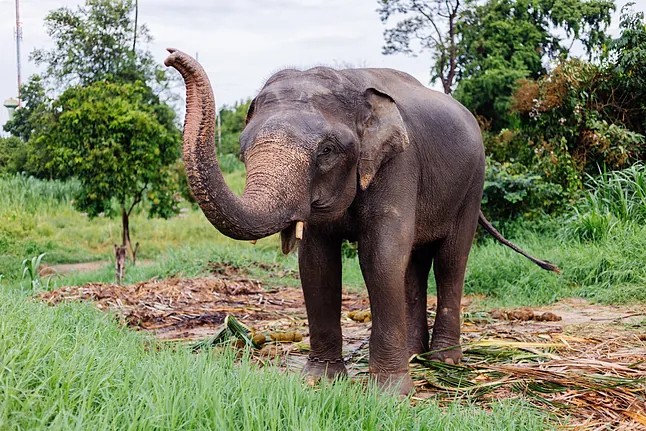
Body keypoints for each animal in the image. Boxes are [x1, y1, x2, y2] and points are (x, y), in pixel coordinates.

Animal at [164, 49, 559, 395]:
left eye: (326, 151)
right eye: (243, 151)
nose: (170, 56)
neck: (350, 82)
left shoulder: (399, 163)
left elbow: (380, 257)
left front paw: (390, 394)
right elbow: (317, 264)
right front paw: (320, 381)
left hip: (473, 183)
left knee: (450, 259)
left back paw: (443, 361)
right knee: (414, 264)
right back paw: (415, 354)